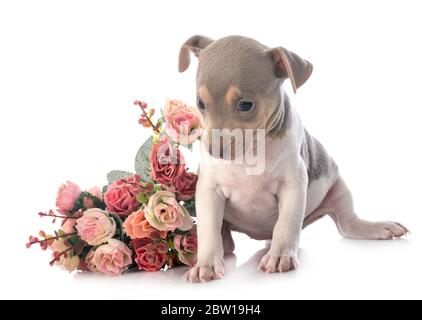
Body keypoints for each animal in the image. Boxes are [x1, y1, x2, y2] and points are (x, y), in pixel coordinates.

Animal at [178, 35, 408, 282]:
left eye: (246, 105)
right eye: (201, 103)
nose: (215, 151)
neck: (250, 155)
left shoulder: (293, 184)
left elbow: (286, 222)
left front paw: (280, 255)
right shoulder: (209, 190)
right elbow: (209, 229)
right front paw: (206, 264)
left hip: (338, 186)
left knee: (347, 223)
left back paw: (378, 227)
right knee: (226, 244)